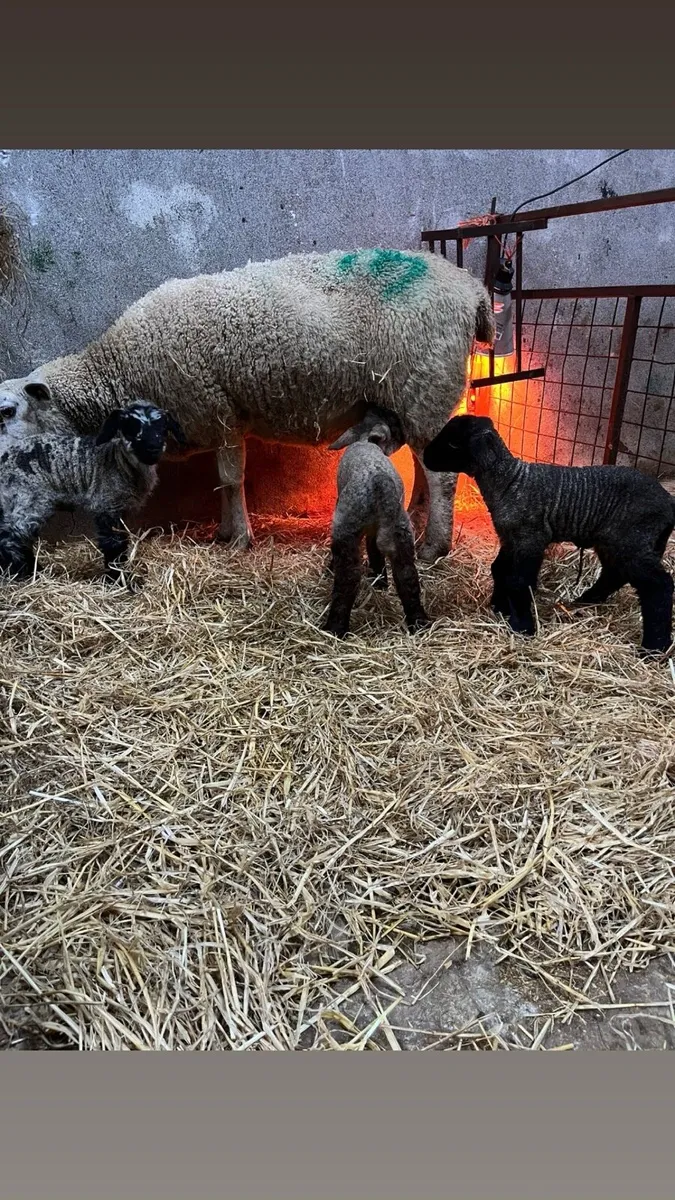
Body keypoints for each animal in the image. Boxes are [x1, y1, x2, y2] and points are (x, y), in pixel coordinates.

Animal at [0, 248, 495, 563]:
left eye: (7, 412)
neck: (118, 367)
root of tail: (471, 288)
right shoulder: (218, 416)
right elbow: (225, 482)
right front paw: (226, 533)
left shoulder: (217, 411)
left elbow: (230, 479)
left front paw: (237, 538)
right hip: (413, 397)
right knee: (425, 463)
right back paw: (415, 519)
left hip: (424, 384)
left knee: (443, 476)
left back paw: (434, 546)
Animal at [0, 402, 186, 587]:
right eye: (130, 425)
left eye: (163, 426)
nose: (152, 448)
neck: (119, 463)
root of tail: (4, 458)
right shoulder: (106, 505)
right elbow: (114, 545)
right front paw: (119, 580)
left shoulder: (120, 510)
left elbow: (122, 540)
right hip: (27, 498)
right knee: (10, 537)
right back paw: (23, 574)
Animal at [322, 405, 430, 638]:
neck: (365, 439)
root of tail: (380, 485)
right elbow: (375, 551)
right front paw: (380, 580)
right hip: (401, 530)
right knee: (407, 575)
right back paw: (419, 623)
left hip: (347, 528)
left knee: (348, 576)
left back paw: (334, 628)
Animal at [423, 414, 675, 655]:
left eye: (453, 442)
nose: (425, 457)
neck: (509, 482)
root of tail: (668, 502)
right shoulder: (510, 538)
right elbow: (500, 569)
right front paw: (500, 608)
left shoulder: (530, 538)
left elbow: (518, 581)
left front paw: (523, 627)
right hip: (618, 540)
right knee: (615, 573)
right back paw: (583, 602)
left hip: (634, 539)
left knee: (658, 585)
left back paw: (654, 647)